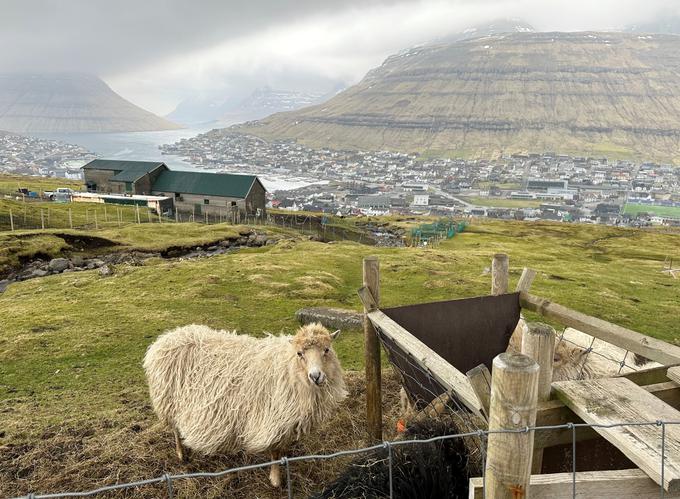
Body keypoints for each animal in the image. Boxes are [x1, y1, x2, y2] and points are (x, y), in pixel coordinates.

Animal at [143, 322, 346, 486]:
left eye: (327, 350)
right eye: (300, 353)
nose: (316, 376)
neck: (289, 368)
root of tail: (167, 337)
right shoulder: (272, 419)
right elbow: (275, 453)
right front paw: (276, 480)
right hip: (168, 401)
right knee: (176, 430)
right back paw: (181, 454)